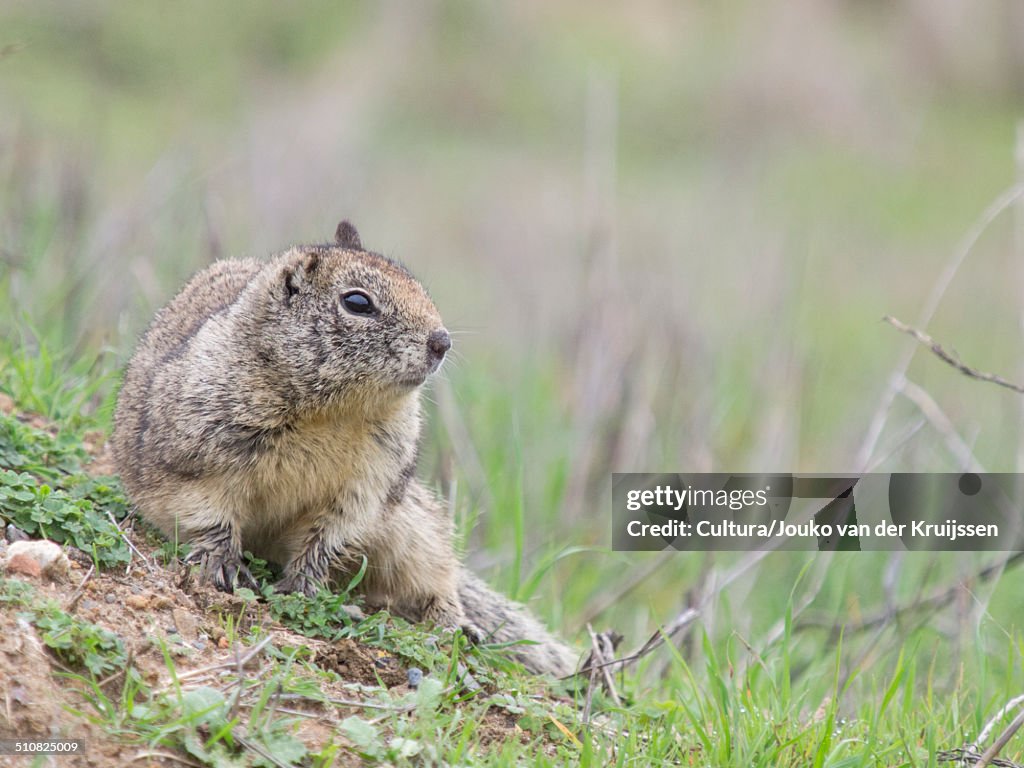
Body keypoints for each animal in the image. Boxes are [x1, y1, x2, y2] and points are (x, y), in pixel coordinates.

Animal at [114, 222, 577, 679]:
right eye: (357, 302)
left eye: (418, 287)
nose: (441, 342)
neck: (333, 412)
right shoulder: (197, 452)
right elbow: (206, 513)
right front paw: (223, 566)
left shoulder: (366, 484)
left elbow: (329, 535)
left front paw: (301, 586)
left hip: (414, 531)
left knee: (438, 579)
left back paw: (456, 625)